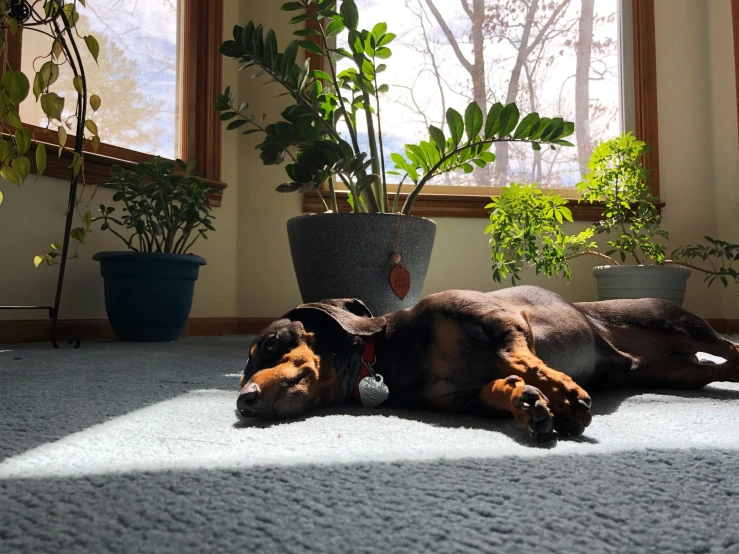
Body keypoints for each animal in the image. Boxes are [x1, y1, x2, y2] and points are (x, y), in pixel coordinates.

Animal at [237, 284, 739, 436]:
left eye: (271, 343)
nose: (243, 401)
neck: (396, 353)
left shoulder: (501, 321)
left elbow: (521, 361)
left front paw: (565, 396)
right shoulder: (460, 399)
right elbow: (501, 385)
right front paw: (528, 404)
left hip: (678, 324)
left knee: (731, 350)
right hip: (680, 373)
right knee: (723, 368)